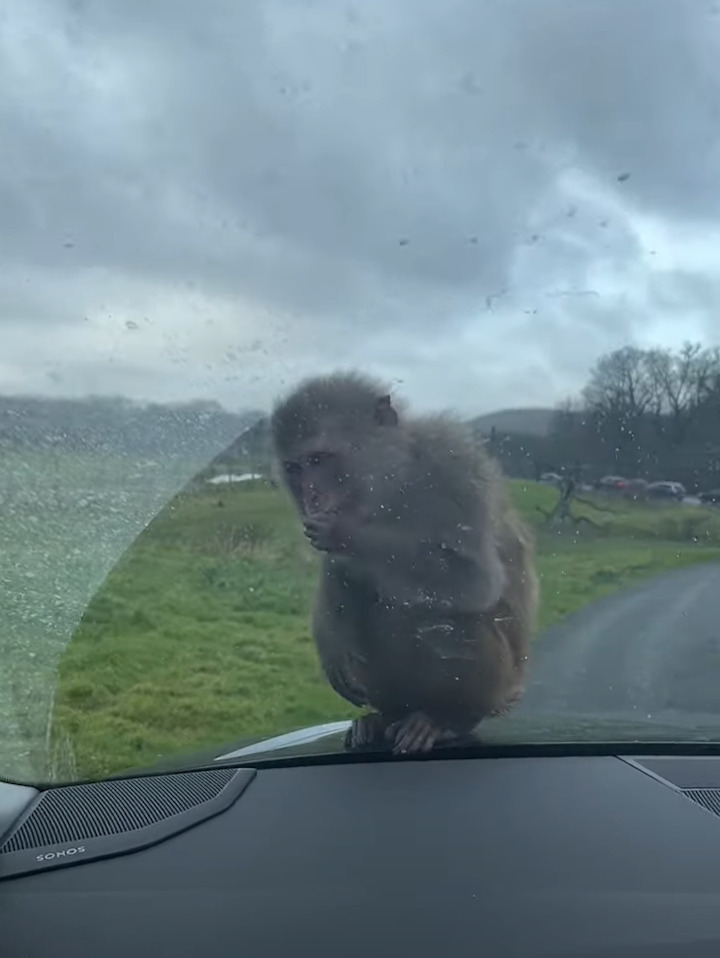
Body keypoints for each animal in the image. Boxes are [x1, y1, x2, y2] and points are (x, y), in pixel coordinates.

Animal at [272, 372, 540, 752]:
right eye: (294, 468)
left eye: (319, 460)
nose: (312, 498)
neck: (395, 483)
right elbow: (341, 572)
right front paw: (330, 645)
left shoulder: (455, 467)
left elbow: (475, 580)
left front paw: (346, 533)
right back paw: (383, 718)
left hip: (495, 688)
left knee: (450, 619)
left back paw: (447, 721)